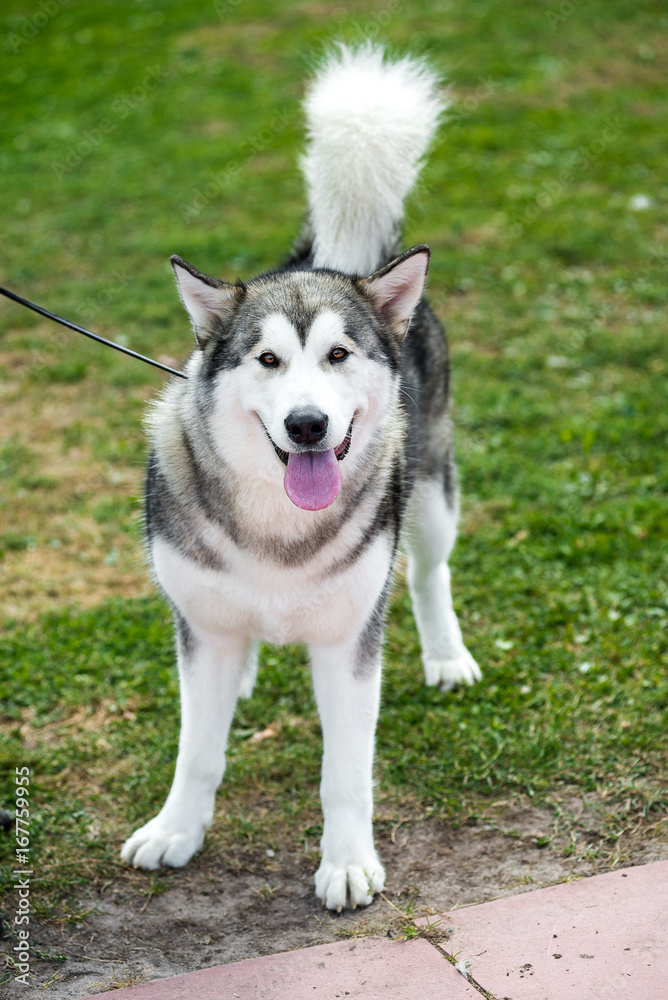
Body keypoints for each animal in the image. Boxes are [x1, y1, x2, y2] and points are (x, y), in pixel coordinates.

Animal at [121, 43, 480, 912]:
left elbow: (345, 772)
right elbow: (197, 749)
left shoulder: (349, 642)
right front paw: (176, 830)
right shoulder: (201, 629)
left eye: (338, 355)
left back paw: (446, 654)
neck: (276, 527)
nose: (308, 425)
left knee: (428, 571)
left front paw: (347, 862)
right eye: (268, 360)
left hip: (431, 491)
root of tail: (334, 262)